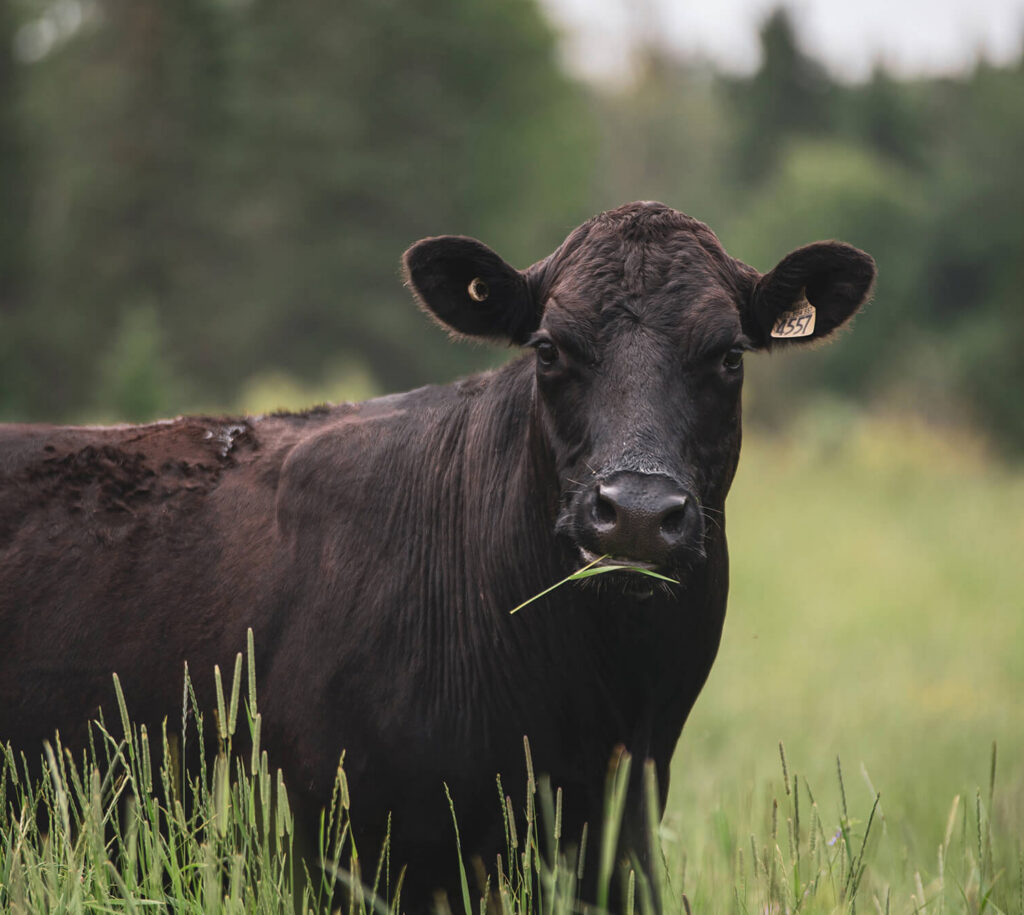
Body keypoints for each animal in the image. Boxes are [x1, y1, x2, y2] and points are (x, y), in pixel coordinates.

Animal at [0, 202, 875, 908]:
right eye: (549, 349)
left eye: (728, 354)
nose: (633, 513)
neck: (588, 712)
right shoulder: (343, 849)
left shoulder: (613, 846)